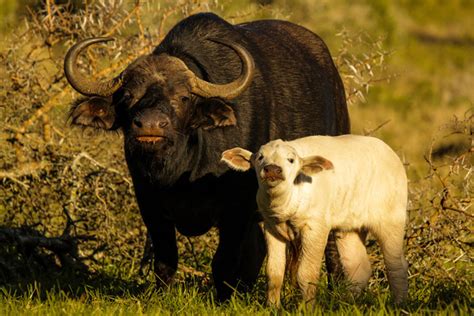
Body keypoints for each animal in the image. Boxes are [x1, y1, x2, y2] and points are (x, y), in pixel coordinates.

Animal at [65, 12, 350, 302]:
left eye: (183, 97)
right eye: (127, 95)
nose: (150, 125)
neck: (181, 172)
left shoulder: (236, 208)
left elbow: (223, 261)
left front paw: (223, 298)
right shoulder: (149, 204)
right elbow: (166, 260)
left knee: (330, 243)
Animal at [221, 135, 408, 306]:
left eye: (291, 160)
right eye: (260, 157)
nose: (272, 169)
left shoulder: (316, 227)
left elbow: (306, 275)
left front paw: (307, 308)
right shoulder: (271, 228)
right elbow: (274, 273)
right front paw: (273, 308)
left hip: (392, 217)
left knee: (396, 266)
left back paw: (398, 305)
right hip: (349, 227)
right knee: (358, 268)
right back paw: (346, 304)